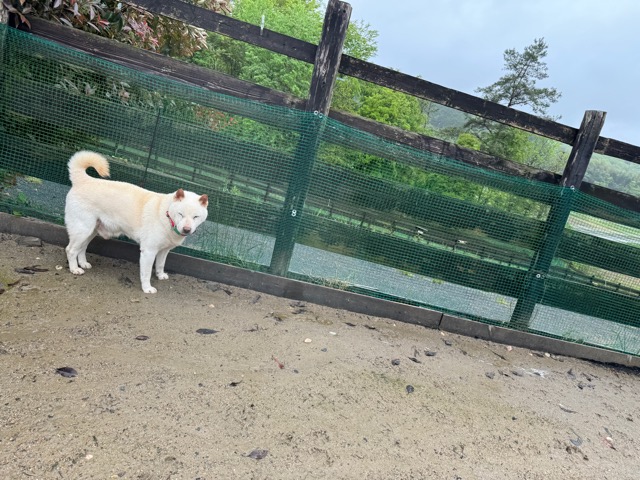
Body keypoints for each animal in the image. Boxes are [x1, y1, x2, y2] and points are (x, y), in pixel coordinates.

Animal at [64, 150, 209, 293]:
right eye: (180, 214)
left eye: (196, 217)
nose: (186, 229)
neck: (166, 215)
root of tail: (84, 180)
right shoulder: (149, 251)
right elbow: (146, 273)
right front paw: (147, 288)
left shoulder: (164, 250)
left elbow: (160, 264)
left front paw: (160, 275)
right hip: (82, 230)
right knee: (70, 250)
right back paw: (74, 269)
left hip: (90, 231)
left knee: (82, 248)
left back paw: (82, 263)